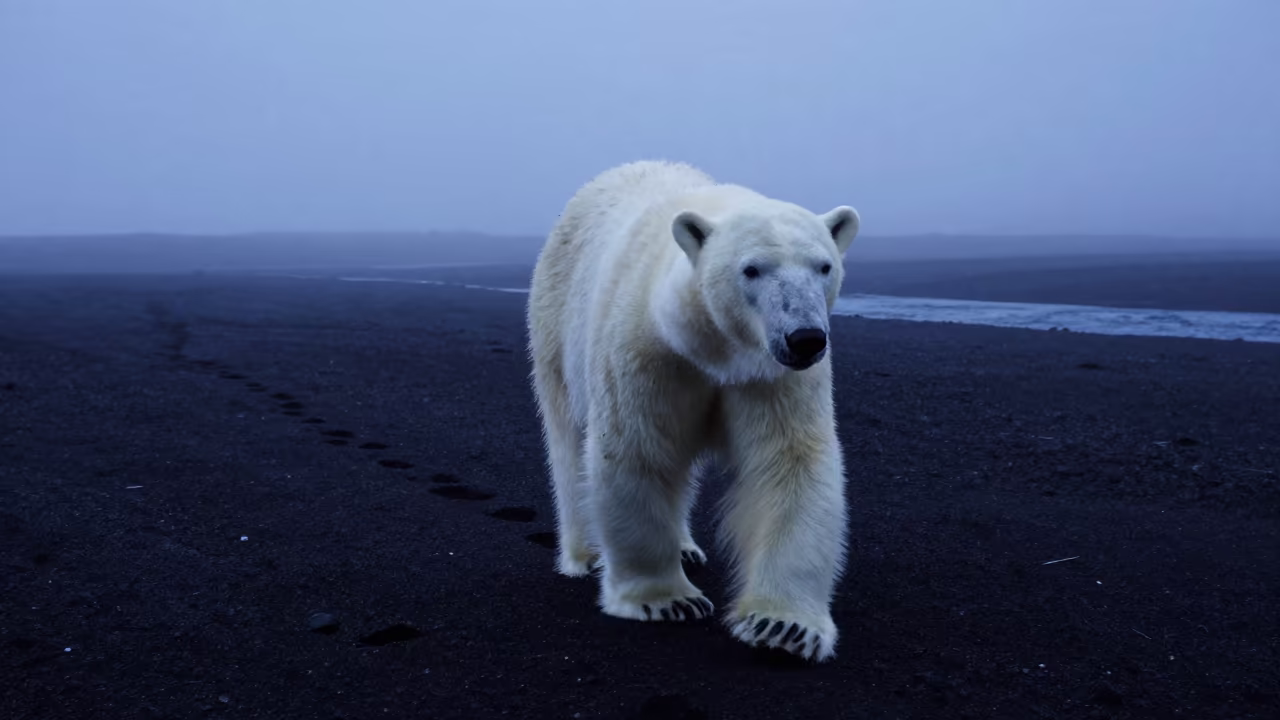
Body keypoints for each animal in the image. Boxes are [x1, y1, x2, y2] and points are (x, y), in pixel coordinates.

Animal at [525, 160, 859, 663]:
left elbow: (790, 463)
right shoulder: (647, 350)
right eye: (751, 269)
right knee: (567, 442)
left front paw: (783, 626)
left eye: (824, 266)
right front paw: (665, 601)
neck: (714, 350)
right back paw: (586, 552)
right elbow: (636, 449)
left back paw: (685, 548)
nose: (804, 338)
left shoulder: (772, 377)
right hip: (555, 322)